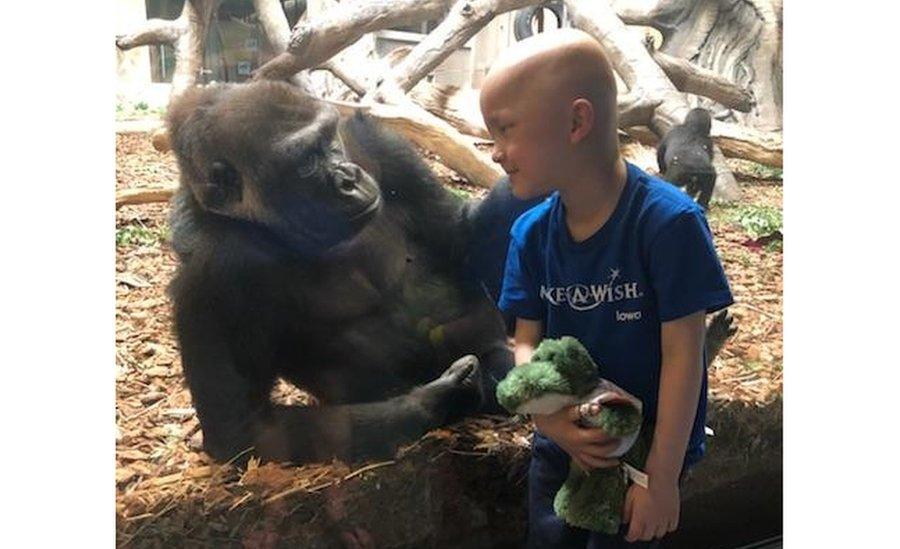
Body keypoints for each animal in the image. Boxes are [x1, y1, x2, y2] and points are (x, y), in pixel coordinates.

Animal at [163, 81, 512, 464]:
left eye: (330, 139)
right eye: (305, 162)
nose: (349, 177)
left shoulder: (378, 142)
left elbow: (458, 236)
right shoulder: (215, 272)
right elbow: (242, 428)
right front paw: (442, 396)